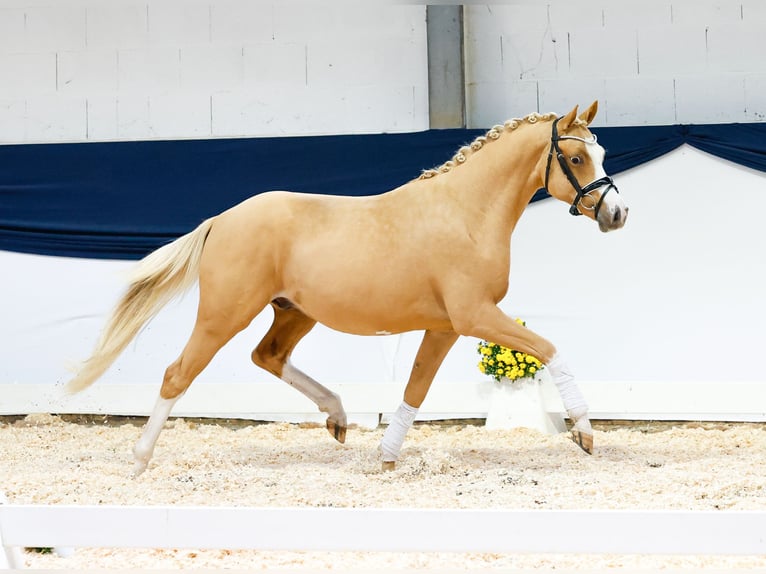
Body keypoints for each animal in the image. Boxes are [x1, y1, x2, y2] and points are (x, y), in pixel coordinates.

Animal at [66, 102, 632, 476]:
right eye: (577, 159)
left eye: (603, 151)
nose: (617, 213)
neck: (465, 212)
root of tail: (221, 220)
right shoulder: (474, 316)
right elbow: (550, 349)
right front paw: (584, 433)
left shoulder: (445, 326)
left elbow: (416, 389)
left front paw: (386, 455)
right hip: (224, 314)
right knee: (178, 374)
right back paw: (139, 461)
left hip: (294, 312)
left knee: (267, 356)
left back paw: (338, 417)